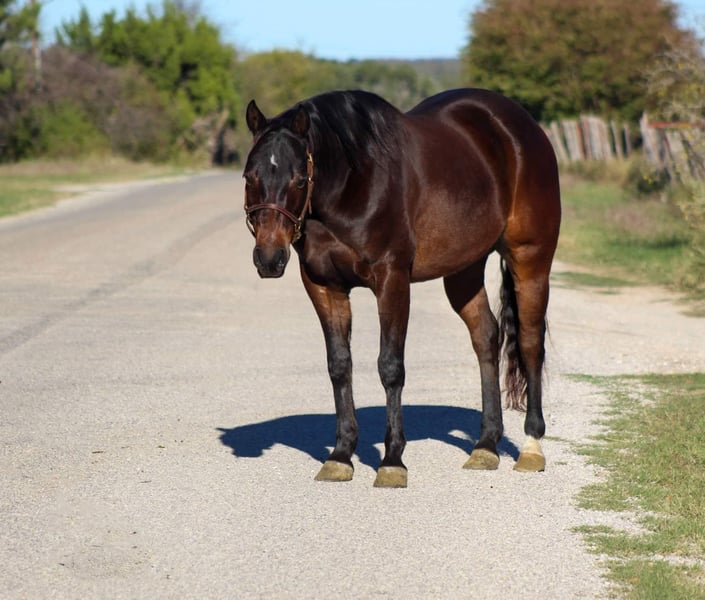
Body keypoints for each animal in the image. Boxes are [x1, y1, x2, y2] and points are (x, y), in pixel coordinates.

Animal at [242, 88, 561, 488]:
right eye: (249, 176)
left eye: (299, 179)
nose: (269, 259)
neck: (353, 183)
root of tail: (523, 127)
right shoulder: (324, 286)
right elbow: (339, 365)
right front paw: (340, 455)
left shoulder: (392, 280)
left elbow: (390, 366)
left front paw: (392, 461)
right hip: (464, 270)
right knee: (487, 337)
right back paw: (485, 446)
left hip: (531, 259)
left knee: (531, 343)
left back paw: (532, 447)